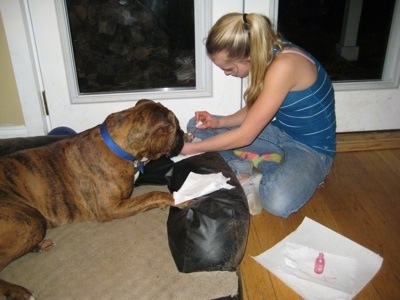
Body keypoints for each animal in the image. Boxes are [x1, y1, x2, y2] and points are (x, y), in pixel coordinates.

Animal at [0, 99, 184, 298]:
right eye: (176, 128)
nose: (184, 135)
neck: (120, 147)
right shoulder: (110, 208)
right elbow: (152, 194)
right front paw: (180, 199)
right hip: (30, 222)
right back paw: (18, 291)